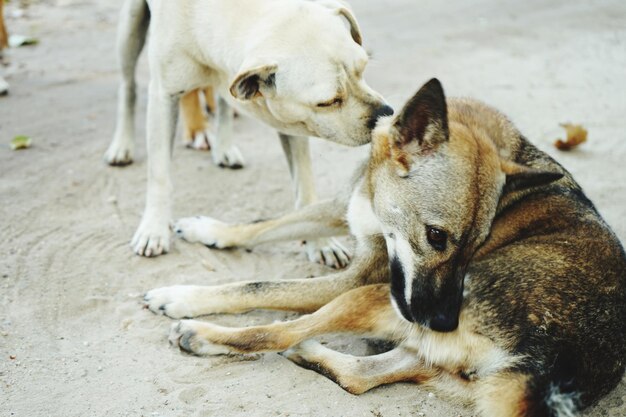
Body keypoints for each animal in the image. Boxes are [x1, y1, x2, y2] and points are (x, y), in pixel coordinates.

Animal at [105, 0, 392, 266]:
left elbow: (305, 185)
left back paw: (224, 146)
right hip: (130, 26)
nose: (386, 114)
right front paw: (154, 228)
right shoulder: (164, 96)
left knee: (221, 99)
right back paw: (122, 145)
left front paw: (320, 242)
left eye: (362, 69)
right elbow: (159, 175)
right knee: (128, 85)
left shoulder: (290, 120)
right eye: (328, 101)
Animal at [144, 79, 624, 416]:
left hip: (373, 298)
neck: (380, 198)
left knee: (278, 331)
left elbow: (259, 286)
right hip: (436, 360)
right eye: (436, 236)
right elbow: (267, 226)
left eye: (476, 245)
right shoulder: (343, 206)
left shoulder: (354, 279)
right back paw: (310, 352)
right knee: (358, 376)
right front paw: (209, 229)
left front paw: (182, 295)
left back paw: (201, 334)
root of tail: (555, 367)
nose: (443, 321)